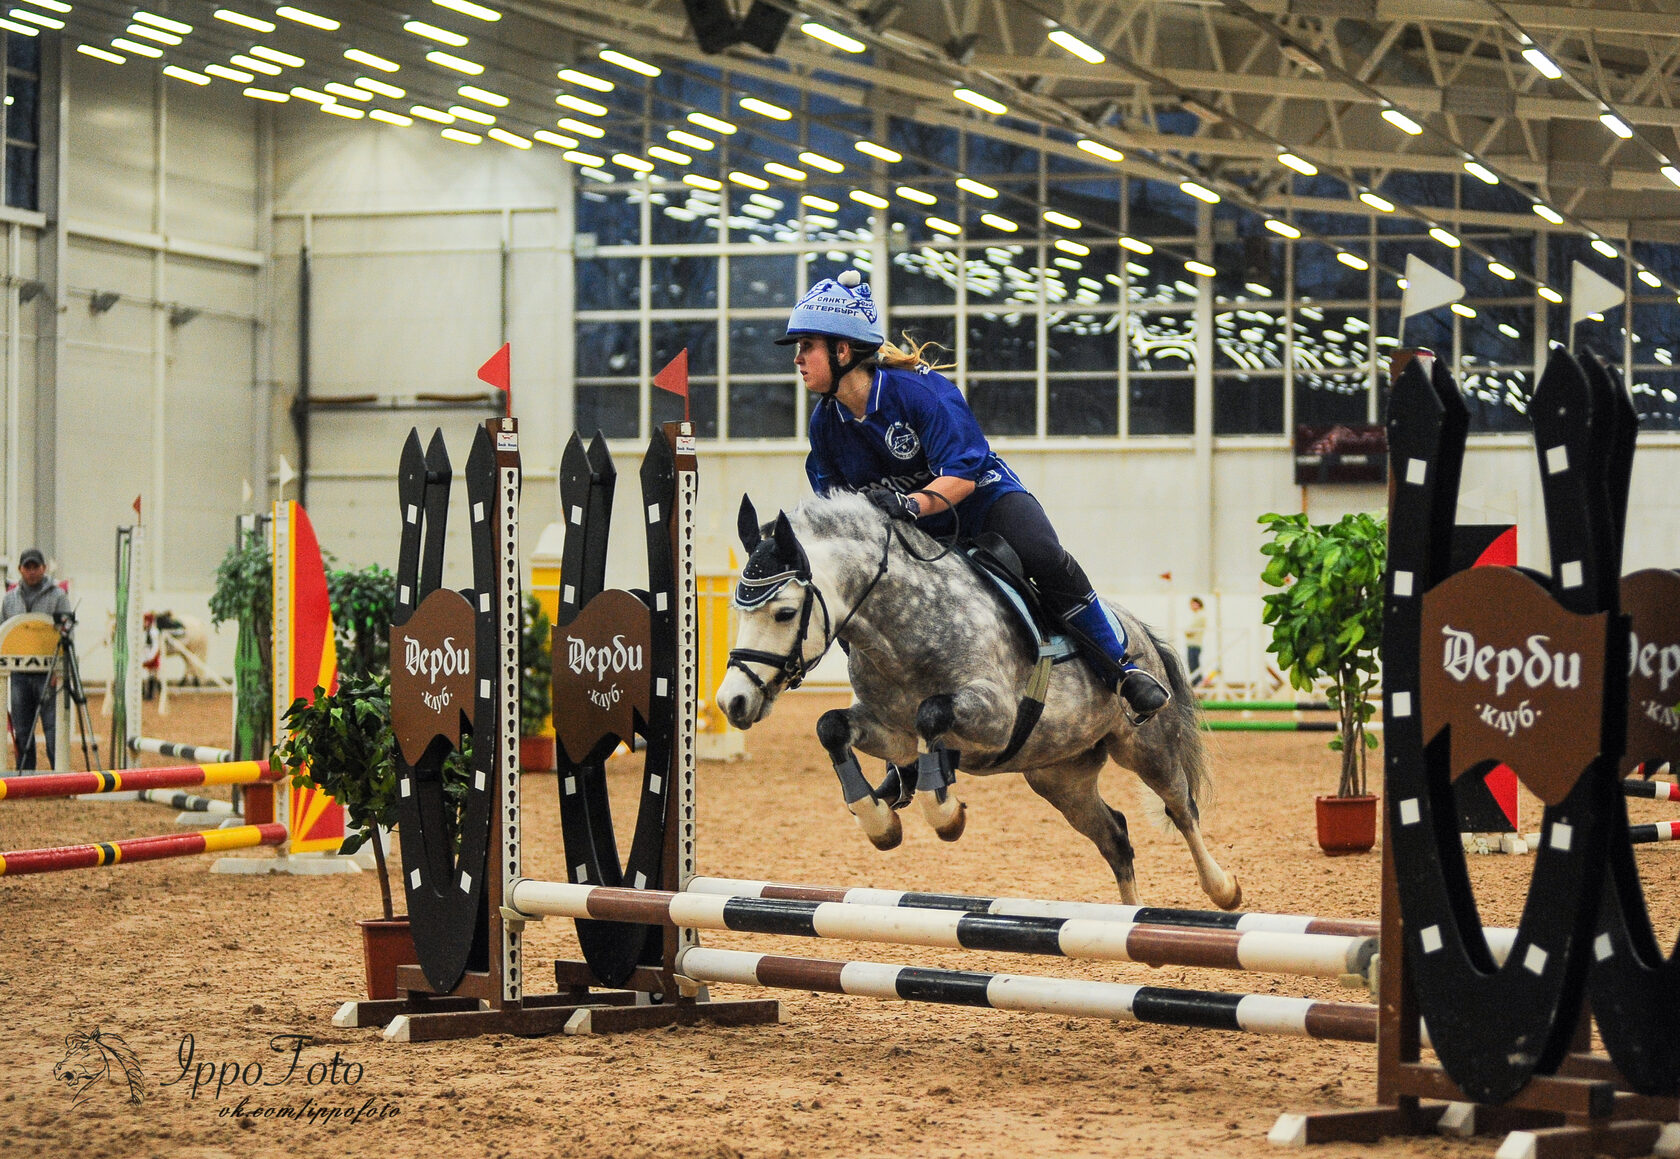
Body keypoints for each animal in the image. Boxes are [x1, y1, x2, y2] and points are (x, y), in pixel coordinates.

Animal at [715, 490, 1243, 907]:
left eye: (785, 613)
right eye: (738, 609)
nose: (732, 702)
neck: (903, 626)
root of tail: (1138, 631)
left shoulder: (995, 716)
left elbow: (931, 715)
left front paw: (945, 814)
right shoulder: (890, 732)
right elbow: (832, 726)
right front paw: (880, 820)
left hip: (1146, 746)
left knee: (1181, 808)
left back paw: (1222, 888)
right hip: (1059, 777)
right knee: (1115, 836)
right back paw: (1129, 920)